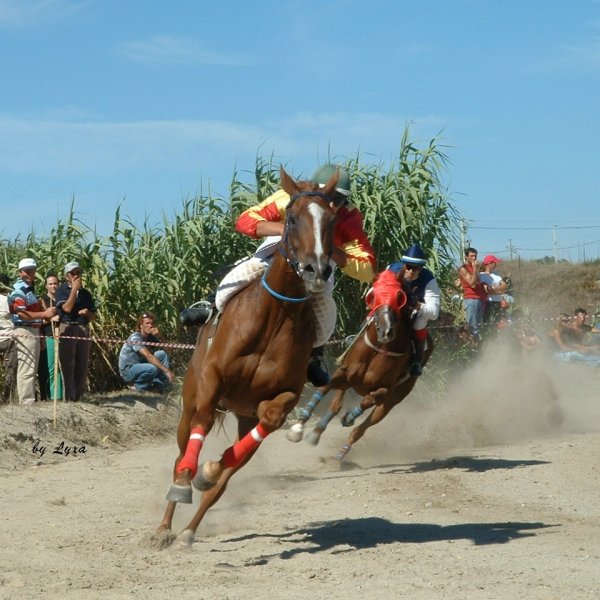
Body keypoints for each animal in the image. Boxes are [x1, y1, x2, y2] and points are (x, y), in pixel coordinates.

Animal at [157, 166, 340, 548]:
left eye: (331, 220)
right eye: (292, 218)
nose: (316, 270)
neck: (274, 316)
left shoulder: (284, 395)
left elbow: (270, 418)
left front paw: (211, 469)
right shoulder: (212, 380)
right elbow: (202, 425)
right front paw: (187, 481)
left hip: (243, 415)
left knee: (223, 480)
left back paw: (191, 526)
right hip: (189, 399)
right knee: (182, 453)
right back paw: (166, 522)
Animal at [286, 268, 432, 460]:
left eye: (399, 296)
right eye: (373, 295)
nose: (385, 331)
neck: (379, 348)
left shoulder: (386, 390)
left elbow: (369, 400)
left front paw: (349, 417)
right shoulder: (345, 373)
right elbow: (324, 389)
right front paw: (299, 425)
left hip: (392, 402)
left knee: (362, 427)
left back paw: (341, 451)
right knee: (336, 405)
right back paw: (317, 432)